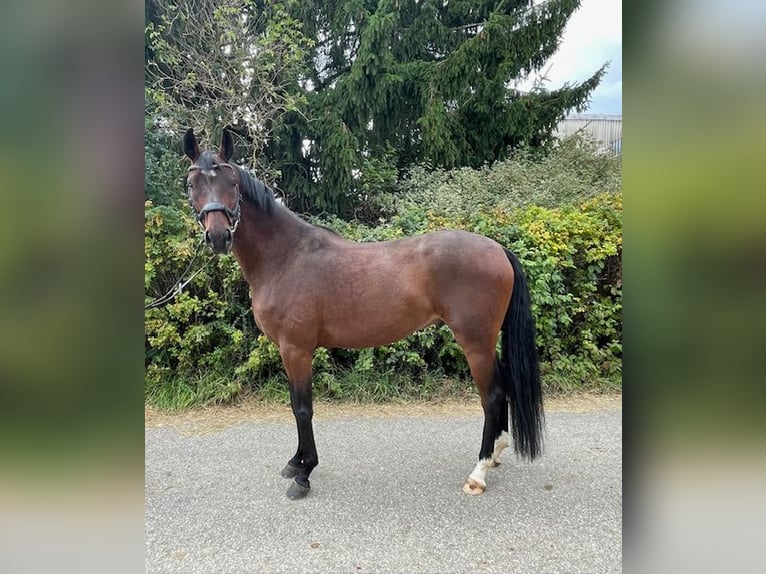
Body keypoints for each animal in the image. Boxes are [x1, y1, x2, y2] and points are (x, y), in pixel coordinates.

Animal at [182, 127, 544, 500]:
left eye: (232, 182)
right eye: (191, 184)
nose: (218, 236)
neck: (286, 257)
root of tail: (498, 249)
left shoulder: (296, 349)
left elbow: (302, 408)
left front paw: (304, 473)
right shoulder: (290, 351)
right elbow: (295, 404)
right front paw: (295, 463)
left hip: (475, 342)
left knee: (492, 395)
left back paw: (479, 470)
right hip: (486, 341)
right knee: (502, 387)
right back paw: (496, 454)